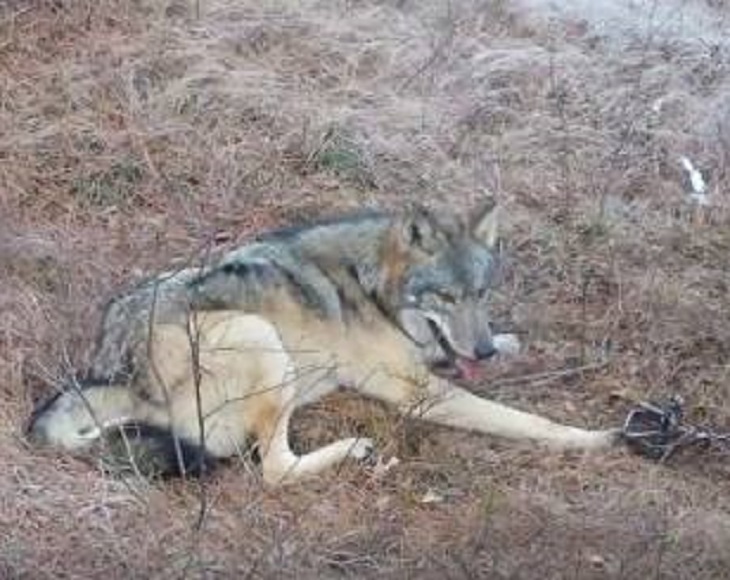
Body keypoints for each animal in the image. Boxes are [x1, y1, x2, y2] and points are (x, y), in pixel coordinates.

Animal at [26, 202, 619, 484]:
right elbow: (529, 421)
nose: (483, 353)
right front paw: (600, 437)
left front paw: (512, 344)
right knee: (272, 470)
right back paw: (352, 449)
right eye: (445, 297)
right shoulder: (419, 393)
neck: (372, 286)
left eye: (480, 293)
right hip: (261, 339)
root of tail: (111, 370)